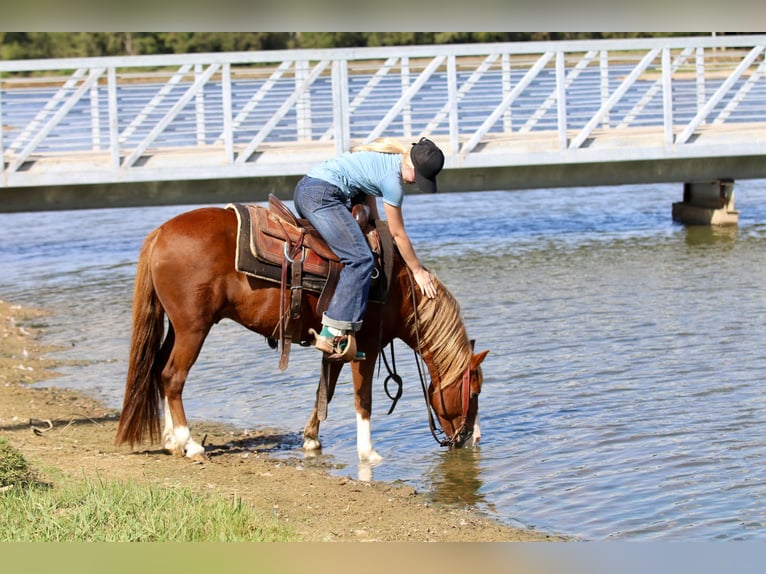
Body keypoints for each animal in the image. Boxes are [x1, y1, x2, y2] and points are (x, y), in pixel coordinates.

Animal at [114, 204, 489, 462]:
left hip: (176, 328)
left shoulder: (339, 346)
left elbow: (326, 391)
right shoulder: (365, 348)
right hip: (193, 329)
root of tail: (160, 233)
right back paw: (189, 443)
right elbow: (362, 399)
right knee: (173, 377)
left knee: (158, 371)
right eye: (474, 393)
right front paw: (368, 453)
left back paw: (170, 440)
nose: (472, 439)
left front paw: (311, 438)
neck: (396, 285)